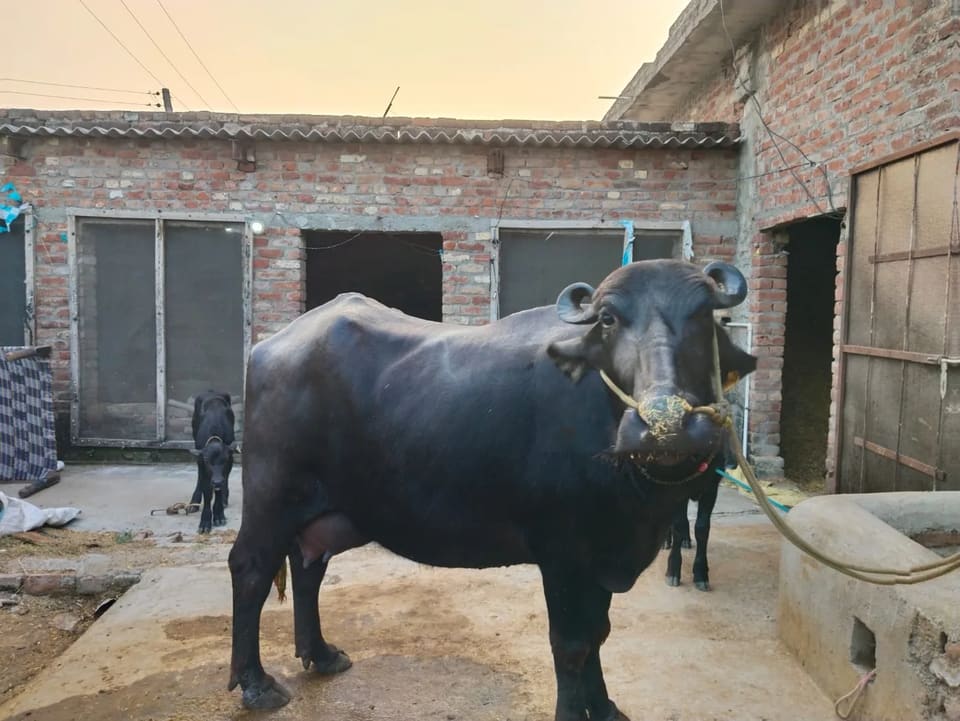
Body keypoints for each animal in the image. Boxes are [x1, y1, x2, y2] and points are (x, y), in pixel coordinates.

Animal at [228, 259, 757, 720]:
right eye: (608, 319)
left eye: (704, 316)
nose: (665, 425)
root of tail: (271, 347)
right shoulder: (562, 553)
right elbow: (571, 644)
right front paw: (574, 711)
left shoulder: (602, 551)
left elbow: (599, 633)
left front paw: (604, 706)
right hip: (271, 498)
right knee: (251, 570)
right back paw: (256, 684)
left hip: (326, 509)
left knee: (308, 567)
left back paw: (321, 654)